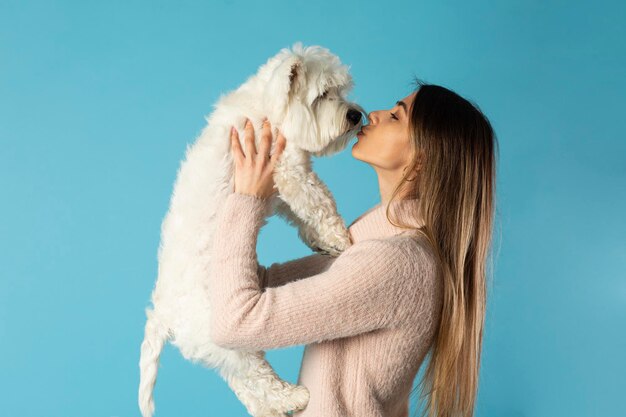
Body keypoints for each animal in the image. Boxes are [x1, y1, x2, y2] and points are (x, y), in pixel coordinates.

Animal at [136, 43, 360, 416]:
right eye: (323, 95)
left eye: (343, 91)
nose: (356, 115)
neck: (267, 107)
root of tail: (164, 315)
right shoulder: (289, 171)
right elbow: (319, 204)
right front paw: (341, 238)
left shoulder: (279, 186)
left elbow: (302, 215)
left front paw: (324, 243)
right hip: (231, 337)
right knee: (257, 376)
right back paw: (294, 396)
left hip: (220, 350)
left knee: (246, 386)